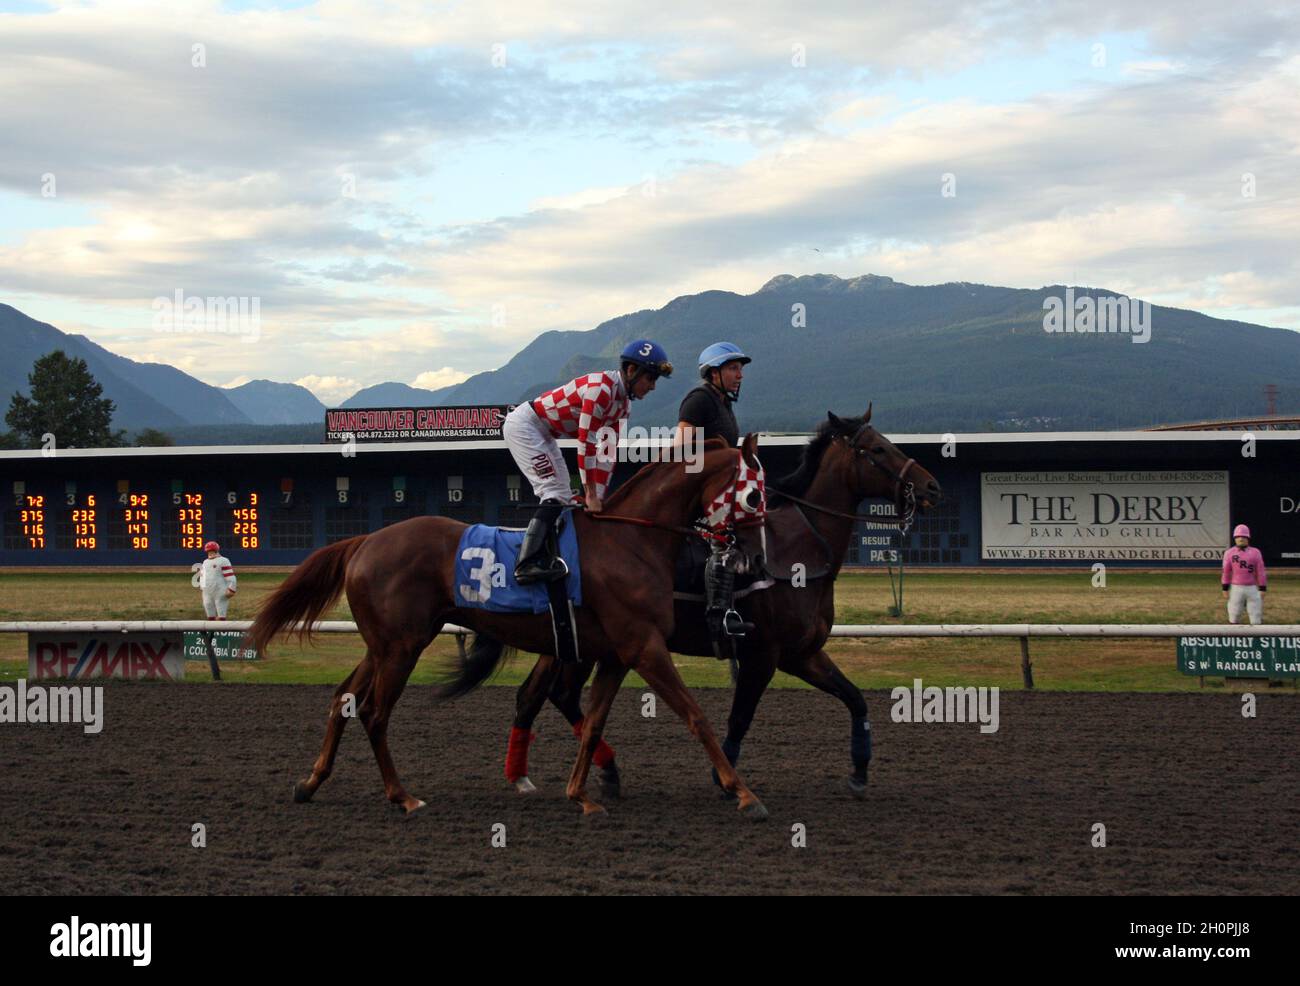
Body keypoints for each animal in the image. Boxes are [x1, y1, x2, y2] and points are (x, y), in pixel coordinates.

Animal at [244, 437, 769, 822]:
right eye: (755, 494)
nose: (756, 561)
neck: (632, 540)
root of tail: (365, 539)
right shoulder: (645, 647)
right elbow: (695, 715)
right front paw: (743, 793)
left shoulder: (617, 654)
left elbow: (593, 723)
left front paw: (582, 794)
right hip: (402, 647)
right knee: (374, 713)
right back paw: (402, 796)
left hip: (382, 645)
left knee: (343, 701)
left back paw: (311, 782)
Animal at [501, 408, 941, 801]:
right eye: (878, 448)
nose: (931, 486)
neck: (799, 551)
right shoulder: (764, 654)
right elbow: (740, 716)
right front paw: (725, 778)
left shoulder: (801, 654)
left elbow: (855, 697)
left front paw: (860, 770)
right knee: (557, 694)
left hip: (569, 641)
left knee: (539, 695)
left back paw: (546, 774)